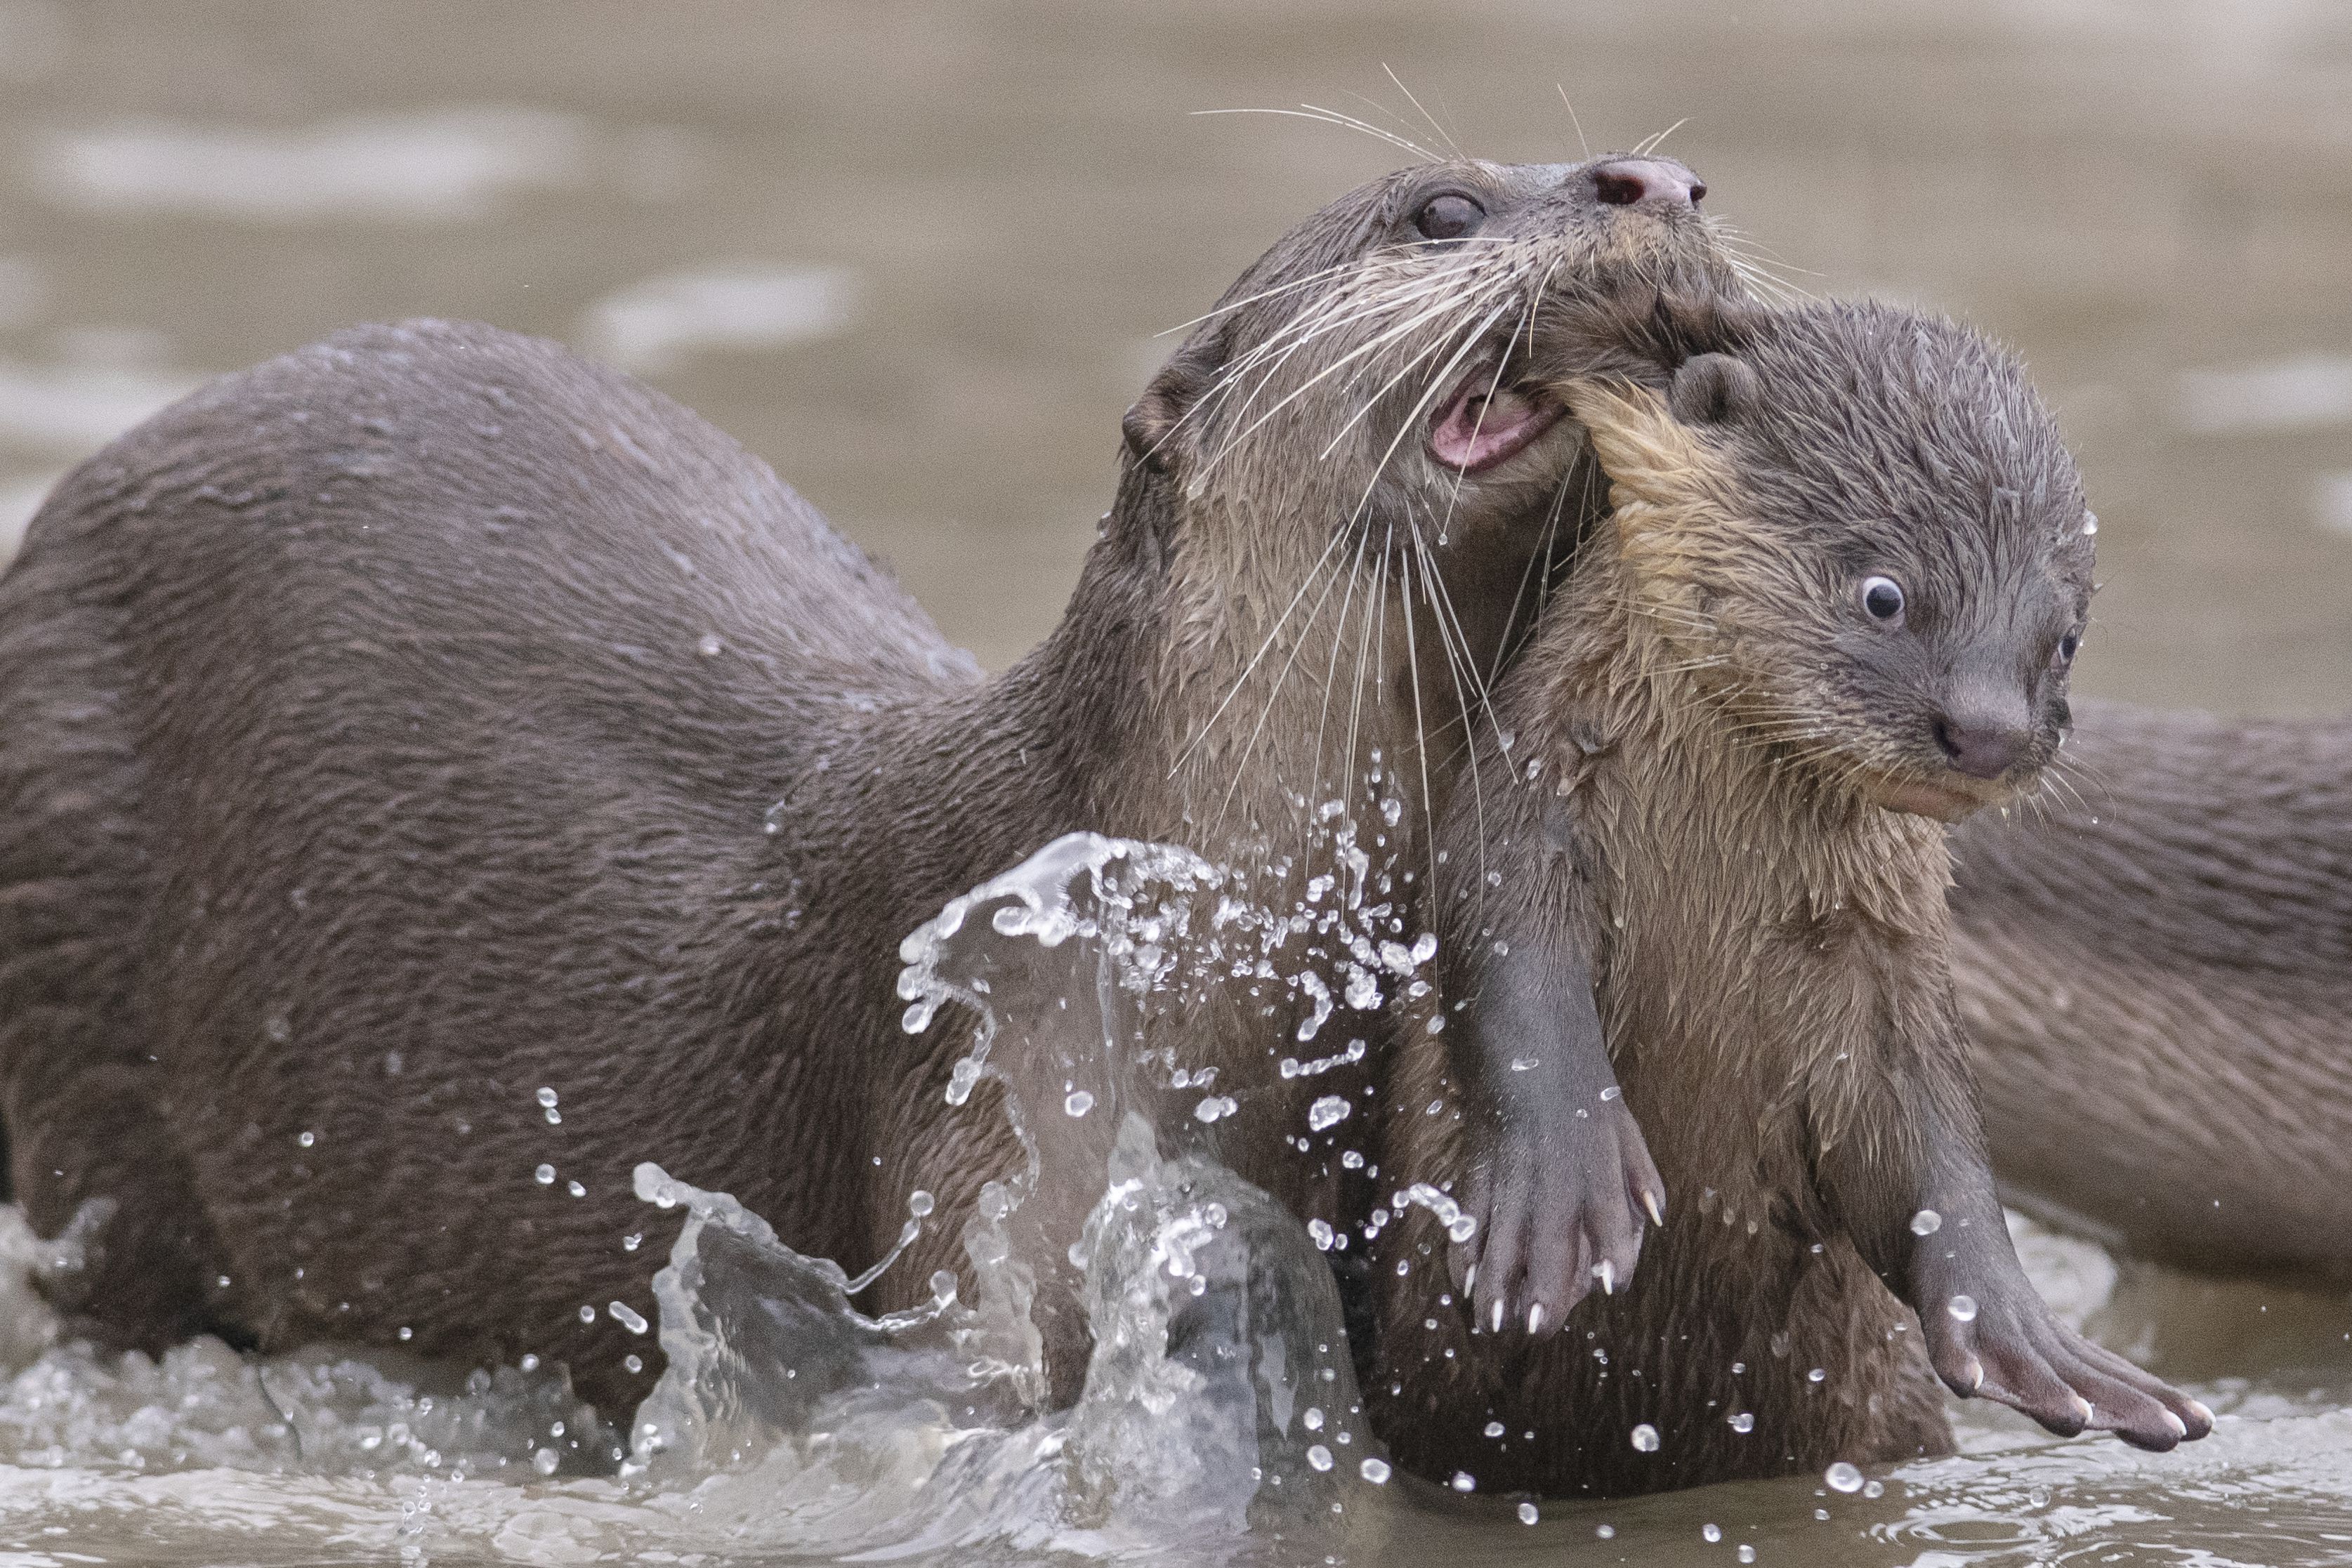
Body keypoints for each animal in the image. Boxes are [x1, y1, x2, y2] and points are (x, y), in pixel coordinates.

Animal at [1373, 303, 2211, 1495]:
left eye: (2063, 638)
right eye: (1885, 594)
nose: (1989, 730)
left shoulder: (1883, 950)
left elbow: (1927, 1143)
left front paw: (2024, 1332)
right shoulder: (1525, 810)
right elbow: (1509, 974)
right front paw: (1563, 1194)